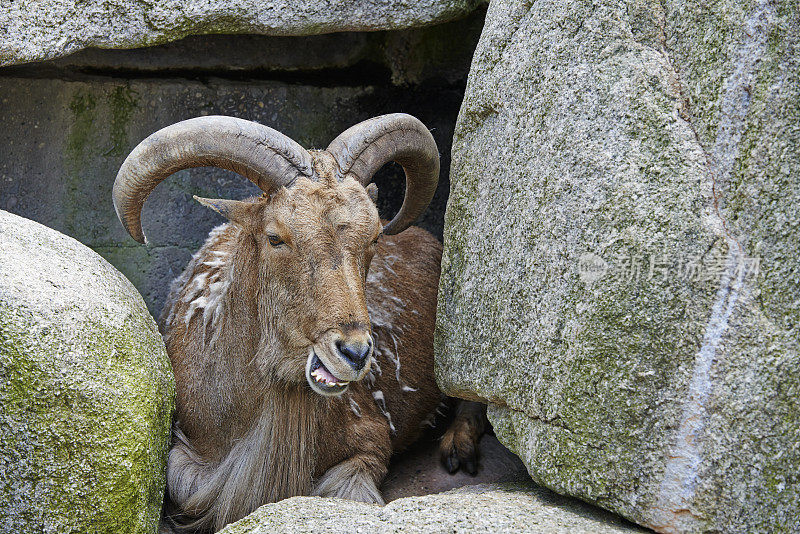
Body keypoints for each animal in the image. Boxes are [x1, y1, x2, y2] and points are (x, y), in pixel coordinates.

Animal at [112, 115, 488, 532]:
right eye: (275, 237)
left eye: (374, 236)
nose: (354, 353)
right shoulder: (186, 455)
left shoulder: (368, 444)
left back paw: (458, 447)